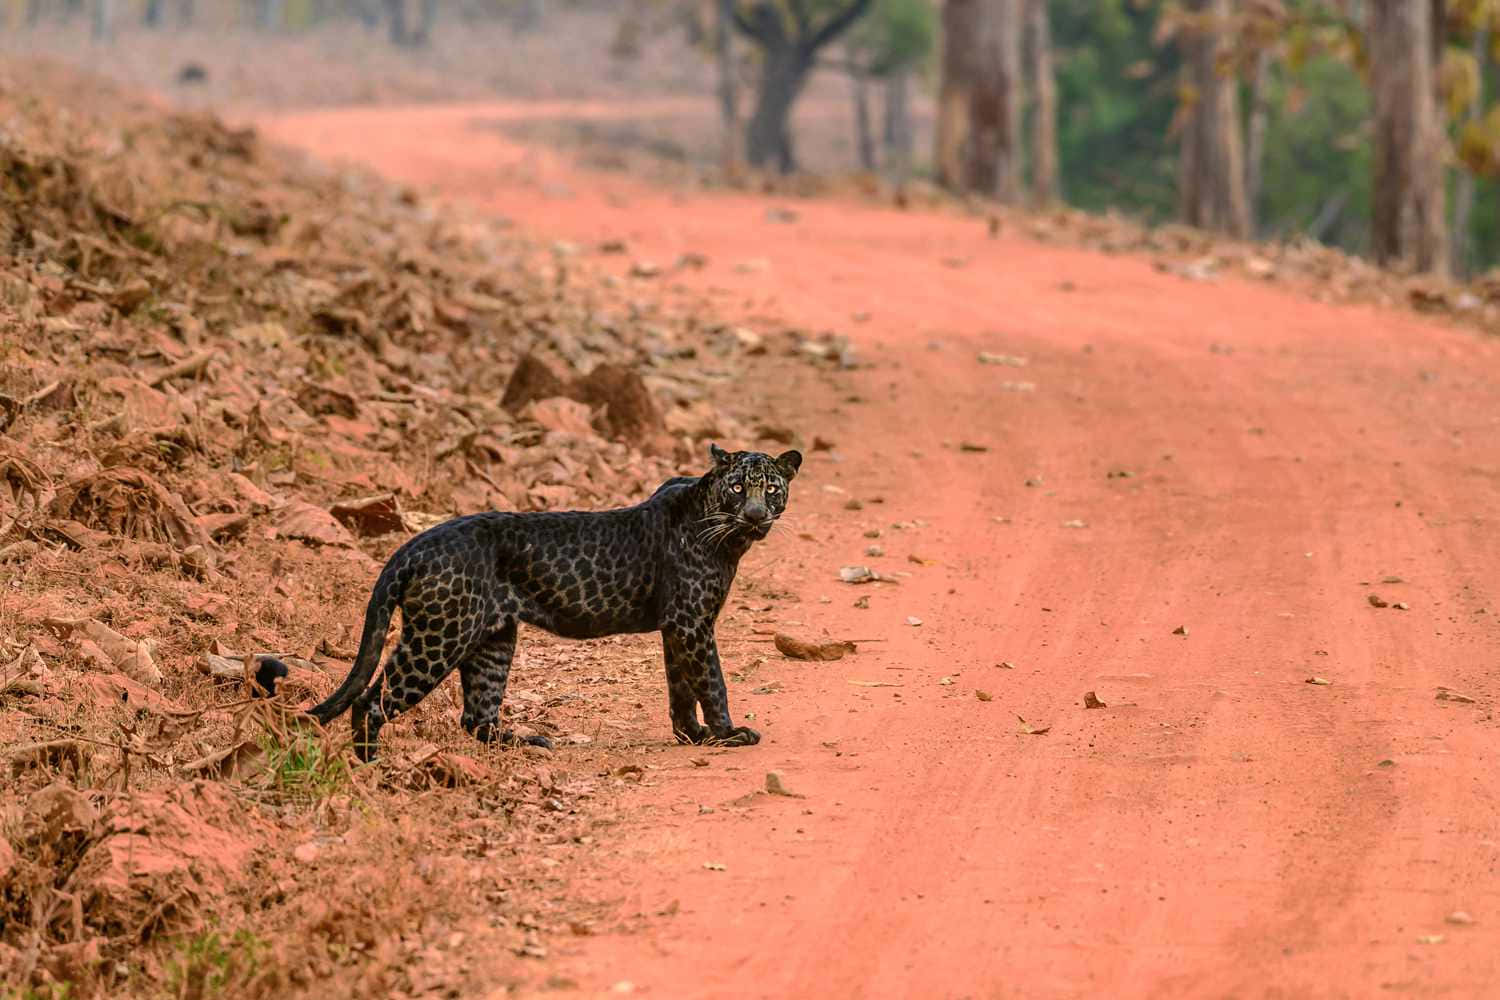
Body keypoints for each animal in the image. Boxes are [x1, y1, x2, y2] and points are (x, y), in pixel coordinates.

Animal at [282, 443, 798, 758]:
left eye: (771, 488)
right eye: (738, 487)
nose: (756, 514)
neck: (725, 533)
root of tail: (414, 545)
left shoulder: (677, 627)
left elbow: (681, 686)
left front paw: (692, 736)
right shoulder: (692, 622)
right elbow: (711, 680)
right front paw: (727, 734)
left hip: (492, 639)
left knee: (476, 716)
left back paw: (529, 742)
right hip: (439, 637)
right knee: (371, 701)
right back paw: (373, 767)